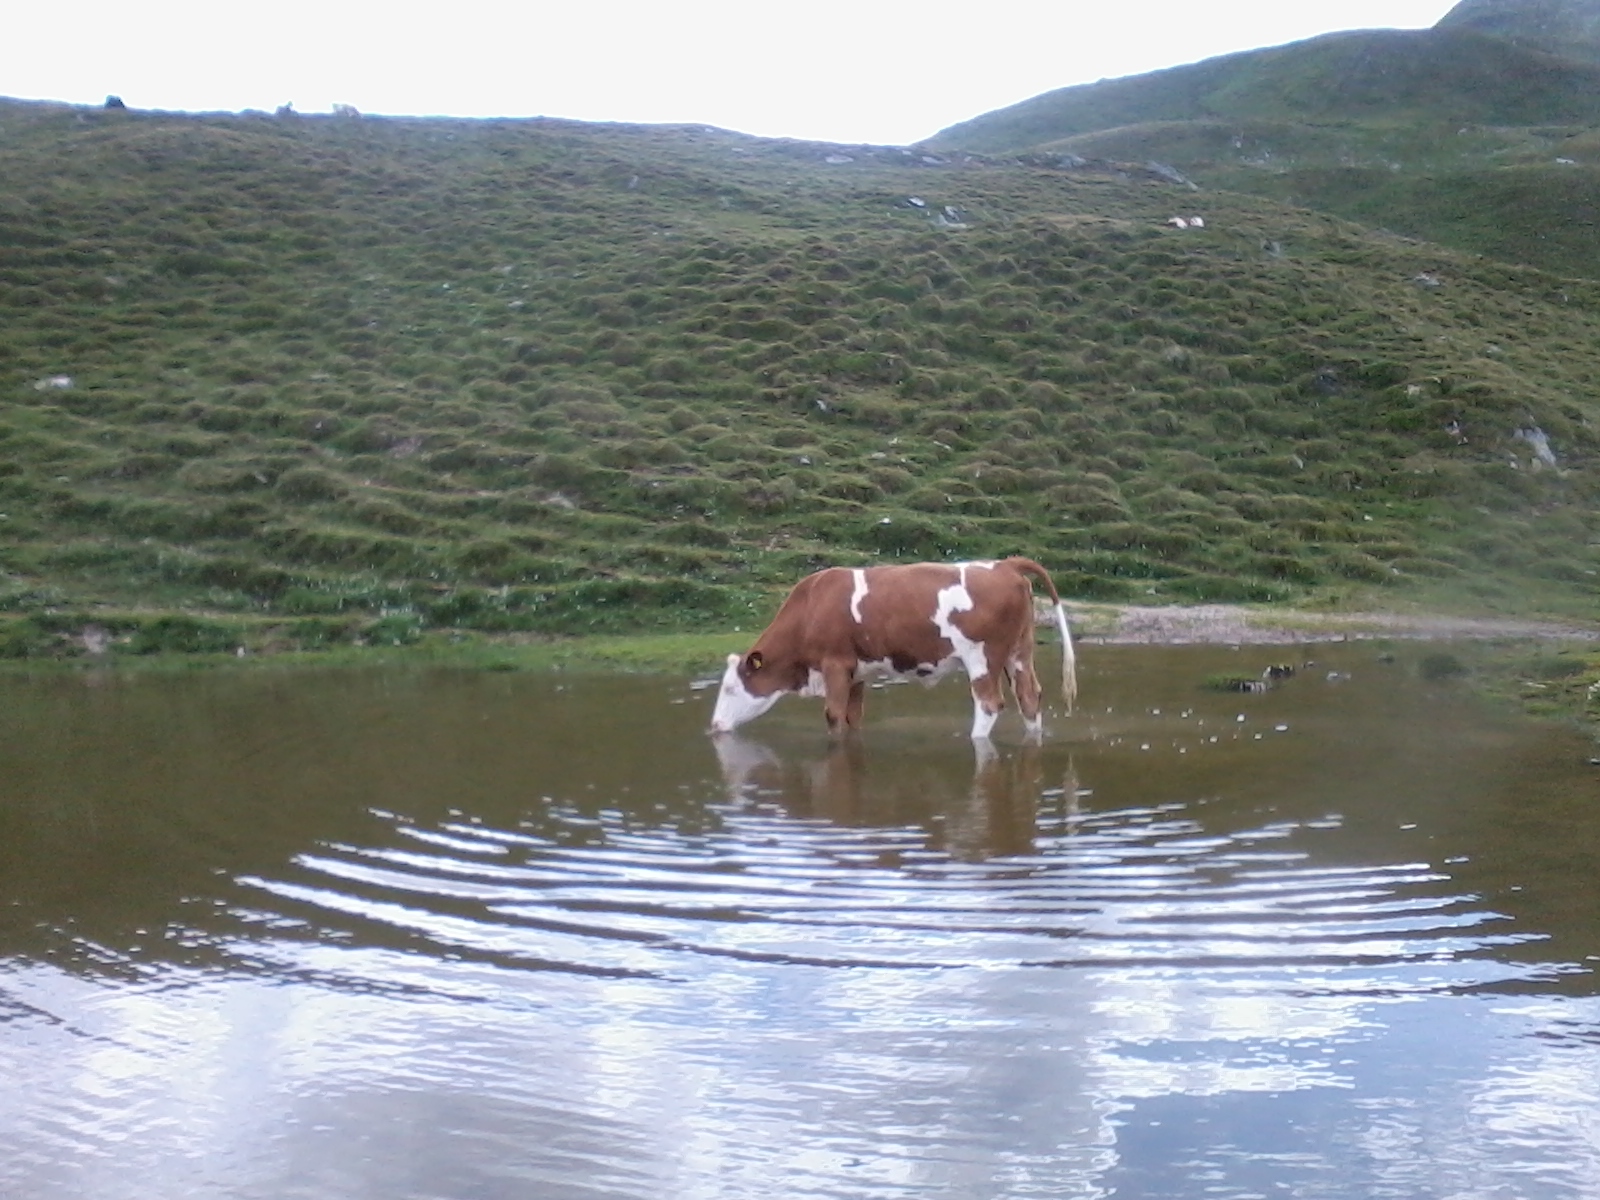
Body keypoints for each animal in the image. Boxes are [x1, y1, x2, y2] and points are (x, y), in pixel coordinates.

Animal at [710, 556, 1075, 742]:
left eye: (730, 689)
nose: (714, 726)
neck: (811, 606)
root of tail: (1005, 564)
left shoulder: (835, 664)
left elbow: (833, 715)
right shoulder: (855, 671)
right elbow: (852, 717)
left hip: (982, 657)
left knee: (988, 704)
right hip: (1019, 652)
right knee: (1029, 698)